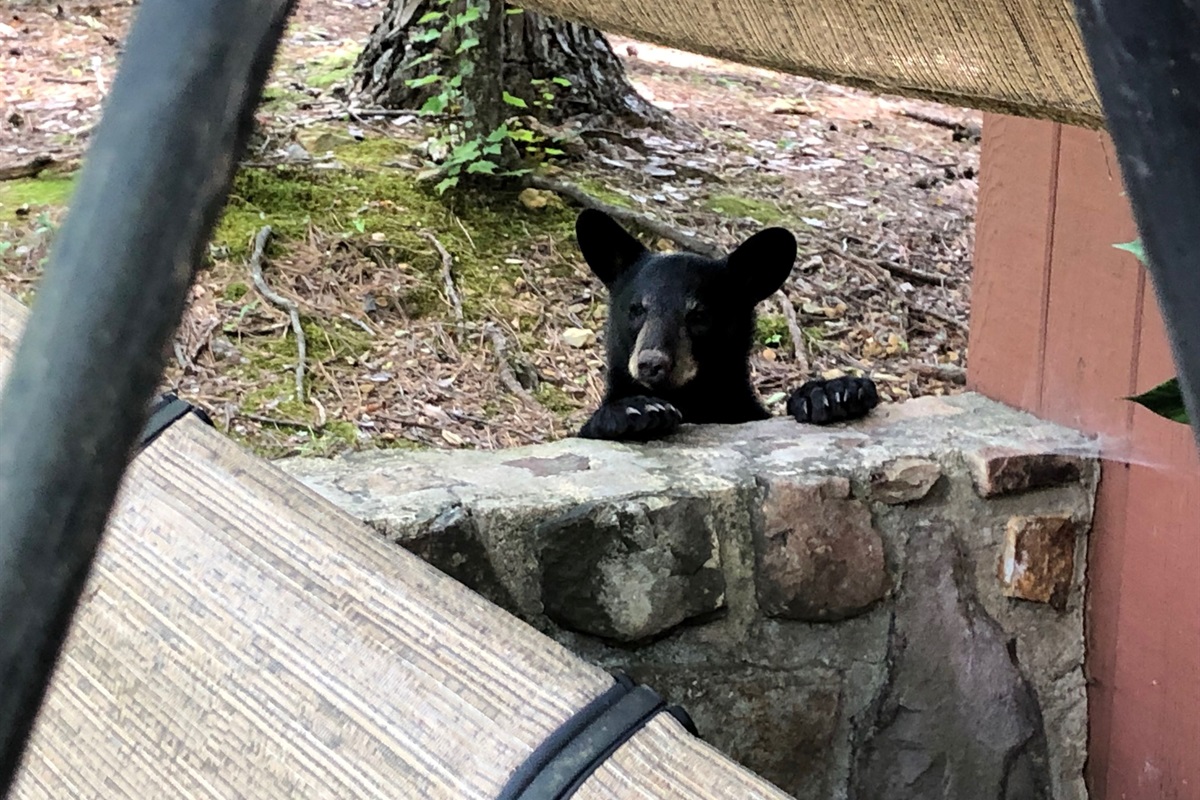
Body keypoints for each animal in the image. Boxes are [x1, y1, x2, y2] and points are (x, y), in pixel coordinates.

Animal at [573, 208, 879, 442]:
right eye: (636, 309)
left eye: (699, 315)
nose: (651, 363)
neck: (690, 400)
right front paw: (634, 410)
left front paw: (832, 392)